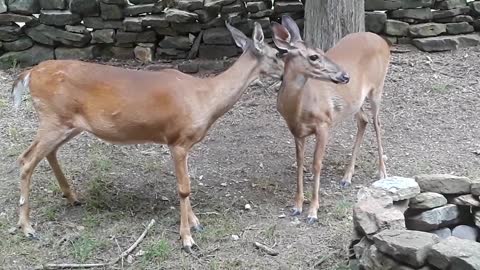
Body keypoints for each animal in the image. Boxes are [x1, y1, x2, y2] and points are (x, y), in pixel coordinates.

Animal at [10, 22, 284, 252]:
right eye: (276, 55)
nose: (284, 75)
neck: (205, 97)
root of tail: (30, 73)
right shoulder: (177, 140)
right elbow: (184, 188)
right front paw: (187, 238)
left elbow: (187, 186)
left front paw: (196, 223)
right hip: (53, 118)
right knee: (26, 159)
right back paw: (27, 227)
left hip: (67, 124)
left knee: (48, 153)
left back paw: (72, 197)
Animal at [270, 16, 390, 224]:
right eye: (313, 56)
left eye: (321, 50)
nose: (345, 75)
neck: (297, 108)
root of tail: (382, 41)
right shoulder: (296, 131)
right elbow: (299, 163)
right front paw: (297, 206)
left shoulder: (324, 123)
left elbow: (317, 164)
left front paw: (313, 212)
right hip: (355, 101)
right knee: (363, 120)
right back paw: (347, 177)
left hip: (377, 87)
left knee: (377, 123)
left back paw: (382, 172)